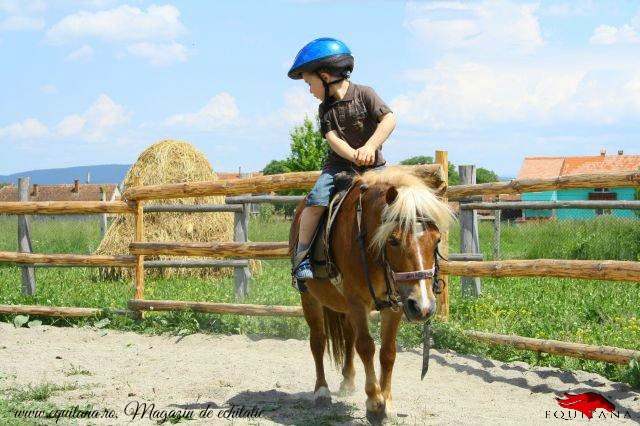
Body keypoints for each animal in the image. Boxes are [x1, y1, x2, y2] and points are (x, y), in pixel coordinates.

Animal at [290, 166, 456, 422]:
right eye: (394, 240)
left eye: (437, 240)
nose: (423, 307)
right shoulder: (357, 300)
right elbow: (366, 346)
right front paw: (375, 402)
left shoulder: (396, 303)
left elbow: (388, 352)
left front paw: (388, 404)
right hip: (309, 297)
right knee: (318, 341)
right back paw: (321, 392)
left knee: (348, 336)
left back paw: (348, 381)